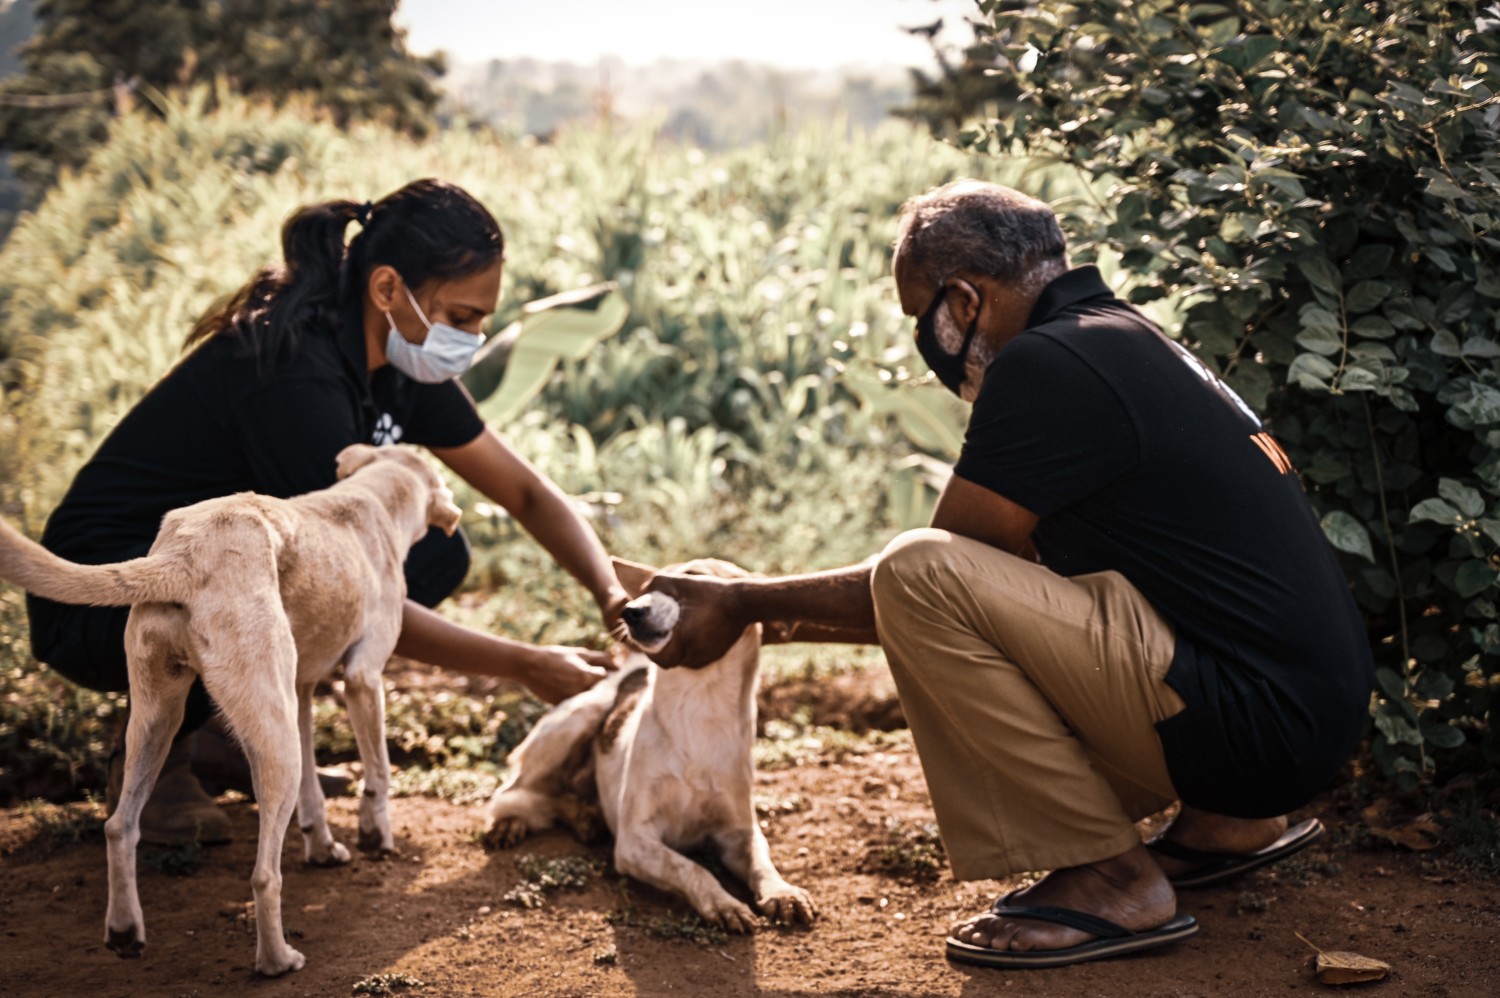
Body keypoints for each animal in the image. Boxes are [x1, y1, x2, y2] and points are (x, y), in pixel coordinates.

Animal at [0, 444, 462, 972]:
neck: (371, 497)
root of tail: (186, 554)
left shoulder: (300, 692)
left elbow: (313, 794)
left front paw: (323, 847)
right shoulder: (364, 678)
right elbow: (380, 772)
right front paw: (376, 836)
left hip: (163, 718)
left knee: (119, 825)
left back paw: (124, 931)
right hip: (274, 743)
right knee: (264, 875)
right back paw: (277, 959)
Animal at [483, 555, 816, 930]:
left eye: (693, 578)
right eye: (646, 588)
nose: (630, 611)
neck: (697, 712)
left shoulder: (739, 832)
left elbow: (762, 859)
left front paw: (782, 892)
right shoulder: (634, 841)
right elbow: (691, 868)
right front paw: (722, 902)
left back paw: (585, 817)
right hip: (575, 722)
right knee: (516, 792)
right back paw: (513, 821)